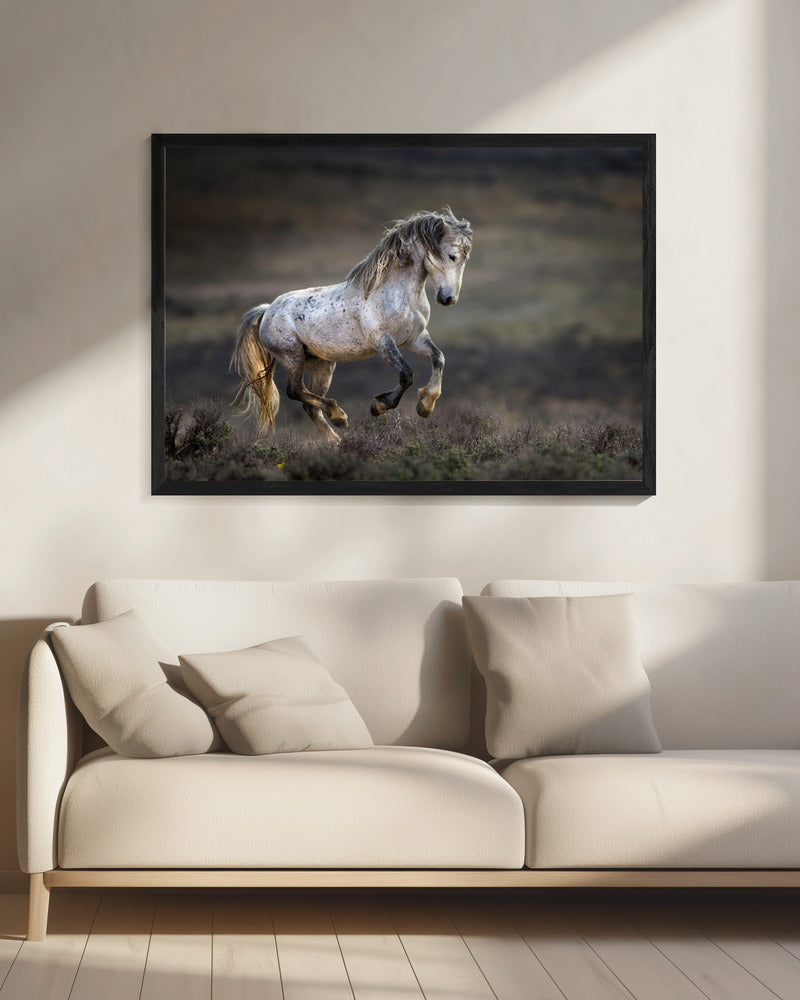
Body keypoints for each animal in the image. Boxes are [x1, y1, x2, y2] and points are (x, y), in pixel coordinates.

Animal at [231, 206, 472, 444]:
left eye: (464, 259)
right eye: (452, 256)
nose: (448, 298)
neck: (398, 293)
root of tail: (266, 311)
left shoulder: (415, 338)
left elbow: (439, 358)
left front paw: (425, 406)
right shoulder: (383, 342)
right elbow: (406, 374)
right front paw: (379, 406)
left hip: (321, 364)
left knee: (309, 405)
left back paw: (336, 441)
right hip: (292, 357)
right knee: (296, 391)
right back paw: (338, 415)